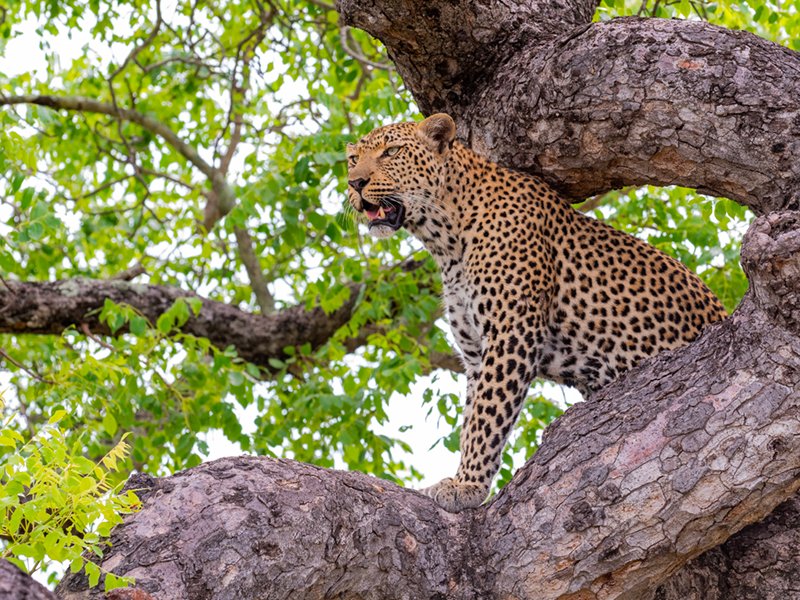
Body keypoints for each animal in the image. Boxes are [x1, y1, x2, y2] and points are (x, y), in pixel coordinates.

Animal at [346, 113, 727, 512]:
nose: (355, 183)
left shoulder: (511, 333)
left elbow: (486, 417)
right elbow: (472, 417)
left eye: (392, 152)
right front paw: (466, 479)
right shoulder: (476, 354)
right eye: (352, 159)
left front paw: (466, 486)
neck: (445, 239)